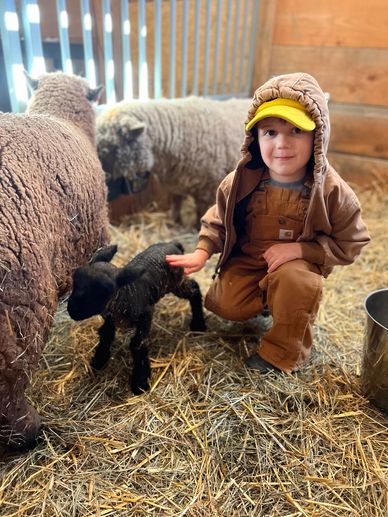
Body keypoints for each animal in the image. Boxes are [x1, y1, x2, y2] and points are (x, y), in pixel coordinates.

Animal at [67, 240, 206, 394]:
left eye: (105, 290)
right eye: (75, 279)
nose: (72, 310)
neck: (126, 294)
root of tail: (174, 244)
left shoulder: (146, 314)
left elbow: (138, 344)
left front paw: (140, 382)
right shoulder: (110, 318)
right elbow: (106, 333)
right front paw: (99, 359)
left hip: (176, 283)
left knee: (194, 289)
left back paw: (198, 324)